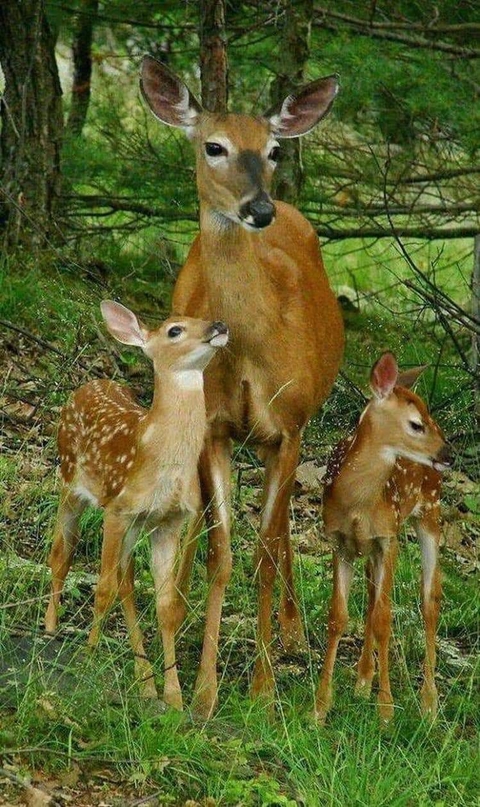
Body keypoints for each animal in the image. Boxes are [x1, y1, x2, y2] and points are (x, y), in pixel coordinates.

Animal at [44, 300, 228, 710]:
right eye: (175, 330)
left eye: (201, 317)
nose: (220, 325)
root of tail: (91, 383)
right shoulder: (117, 509)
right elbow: (103, 589)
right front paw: (89, 659)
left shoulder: (170, 522)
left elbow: (166, 605)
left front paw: (173, 696)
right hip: (69, 479)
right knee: (62, 552)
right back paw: (49, 629)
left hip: (136, 523)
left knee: (125, 578)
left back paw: (144, 682)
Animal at [139, 56, 345, 717]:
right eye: (214, 146)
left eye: (274, 149)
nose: (259, 210)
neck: (258, 350)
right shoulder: (216, 428)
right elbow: (222, 551)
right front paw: (203, 692)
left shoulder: (291, 425)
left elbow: (262, 550)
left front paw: (261, 686)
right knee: (207, 521)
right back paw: (178, 602)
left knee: (278, 532)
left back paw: (293, 632)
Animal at [314, 352, 453, 725]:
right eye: (416, 424)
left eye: (428, 416)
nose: (449, 454)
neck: (357, 504)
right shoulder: (340, 542)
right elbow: (338, 617)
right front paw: (319, 708)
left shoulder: (388, 538)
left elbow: (384, 619)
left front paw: (386, 711)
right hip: (372, 547)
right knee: (371, 594)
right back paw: (363, 682)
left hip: (429, 511)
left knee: (429, 600)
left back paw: (429, 705)